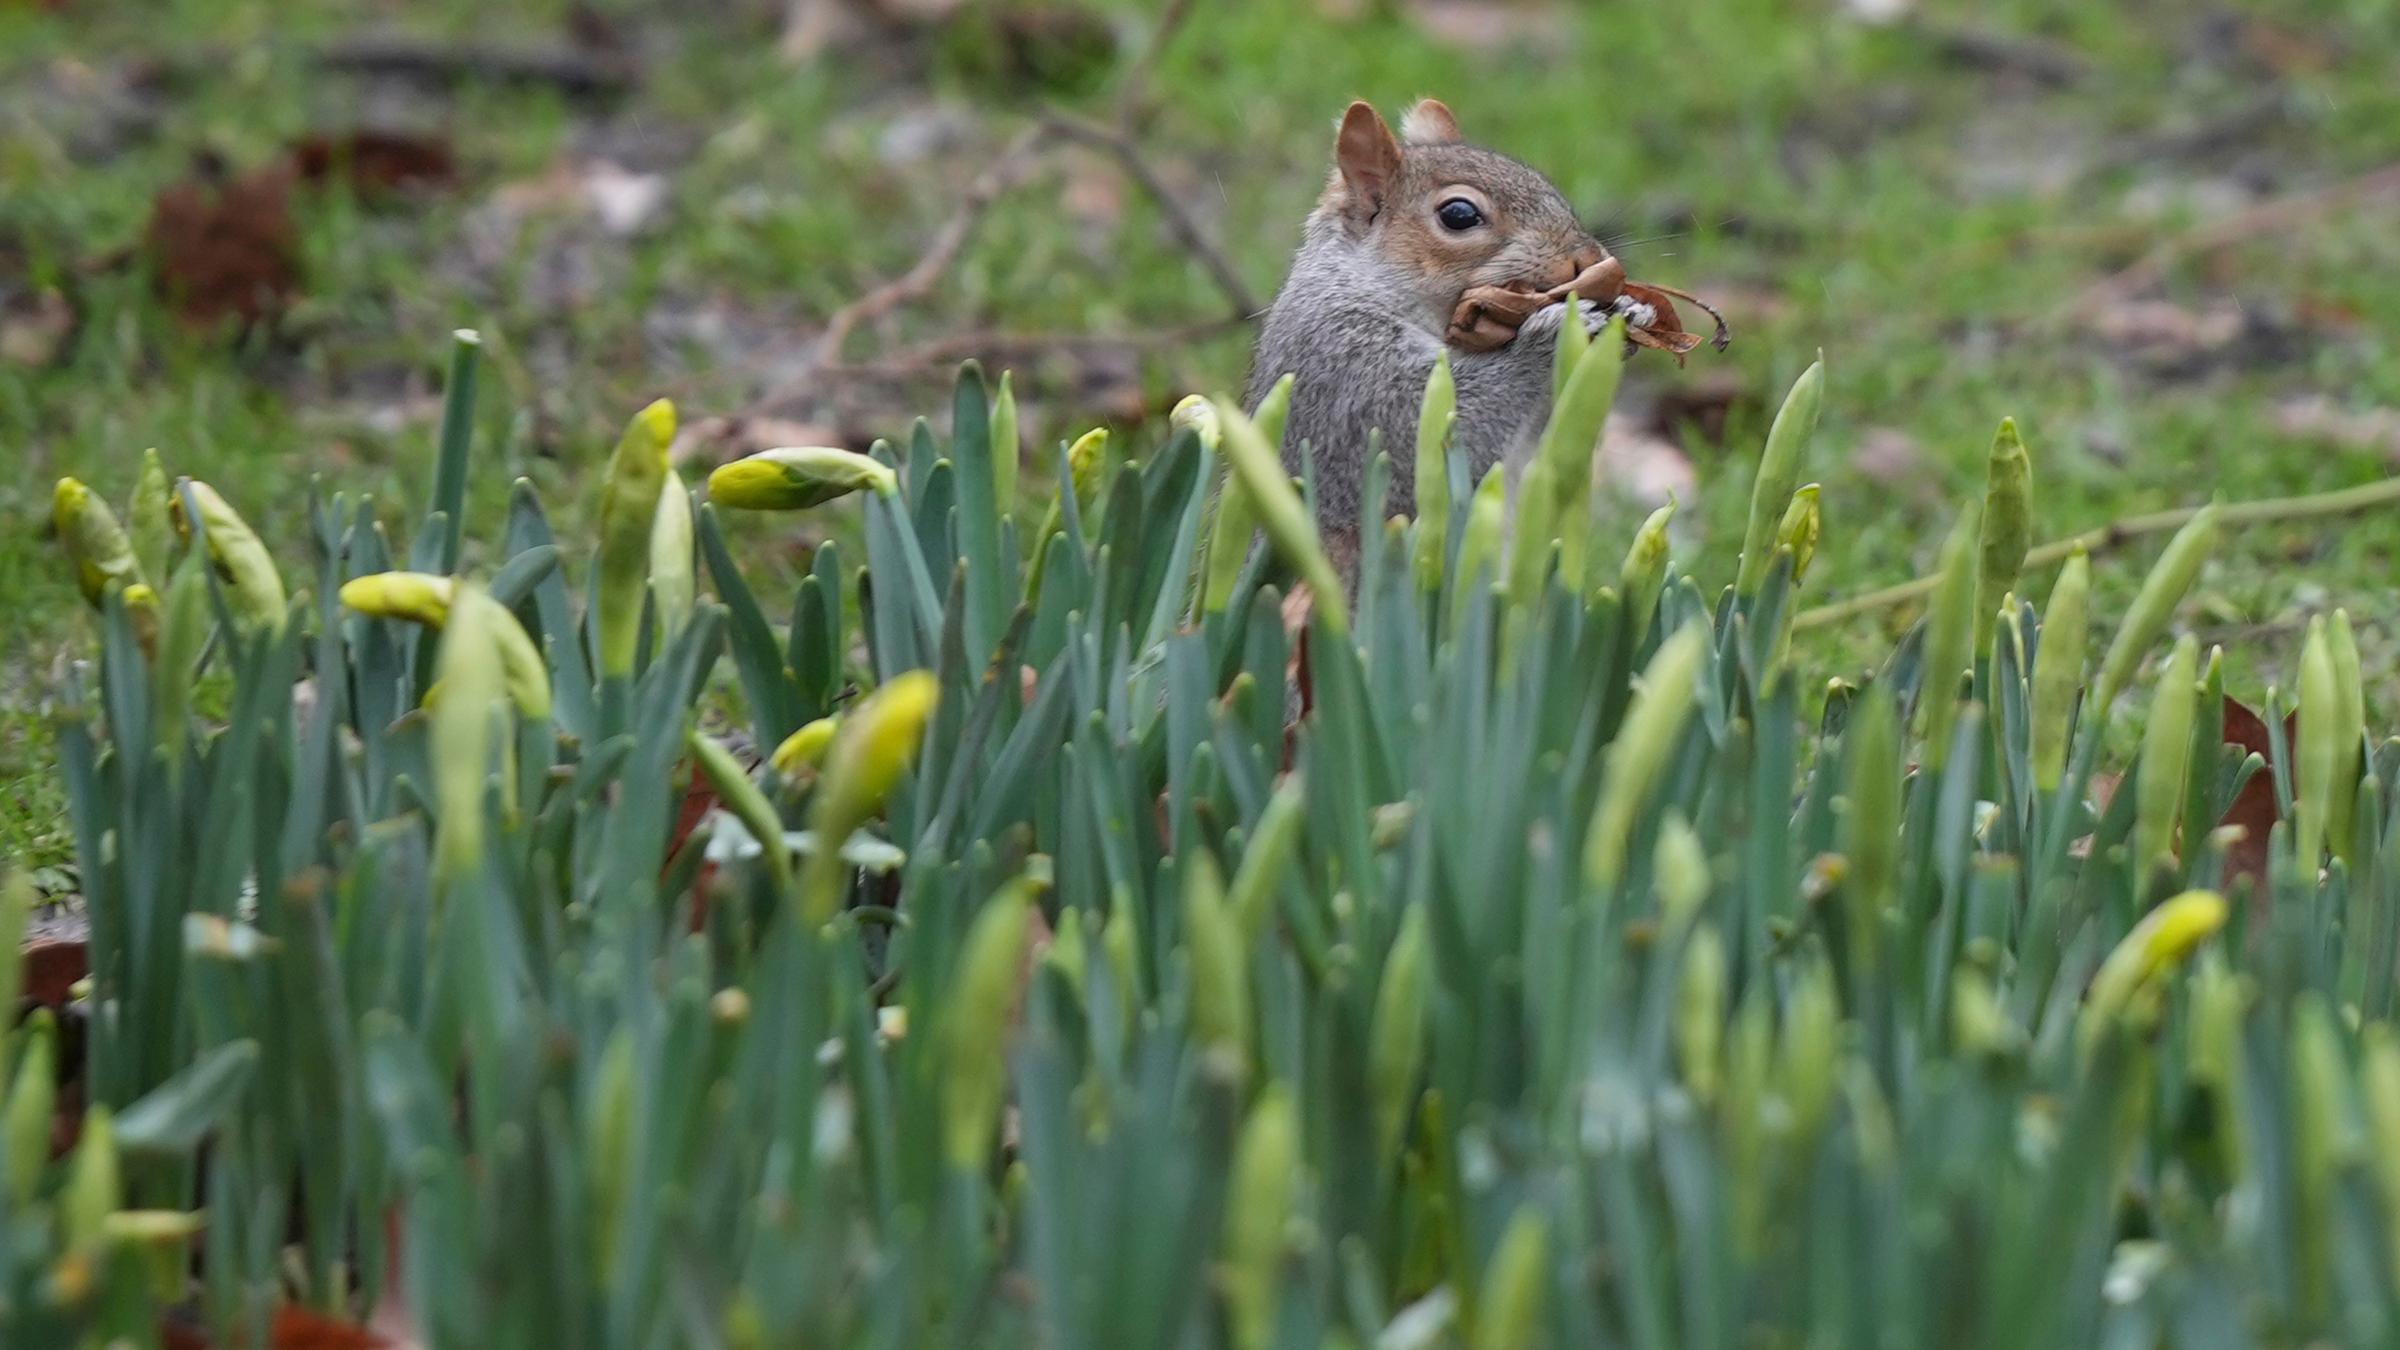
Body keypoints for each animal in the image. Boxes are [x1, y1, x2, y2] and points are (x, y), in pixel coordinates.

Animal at [1248, 98, 1641, 571]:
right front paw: (1545, 339)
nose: (1586, 258)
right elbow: (1435, 434)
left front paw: (1631, 313)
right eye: (1459, 215)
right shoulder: (1343, 366)